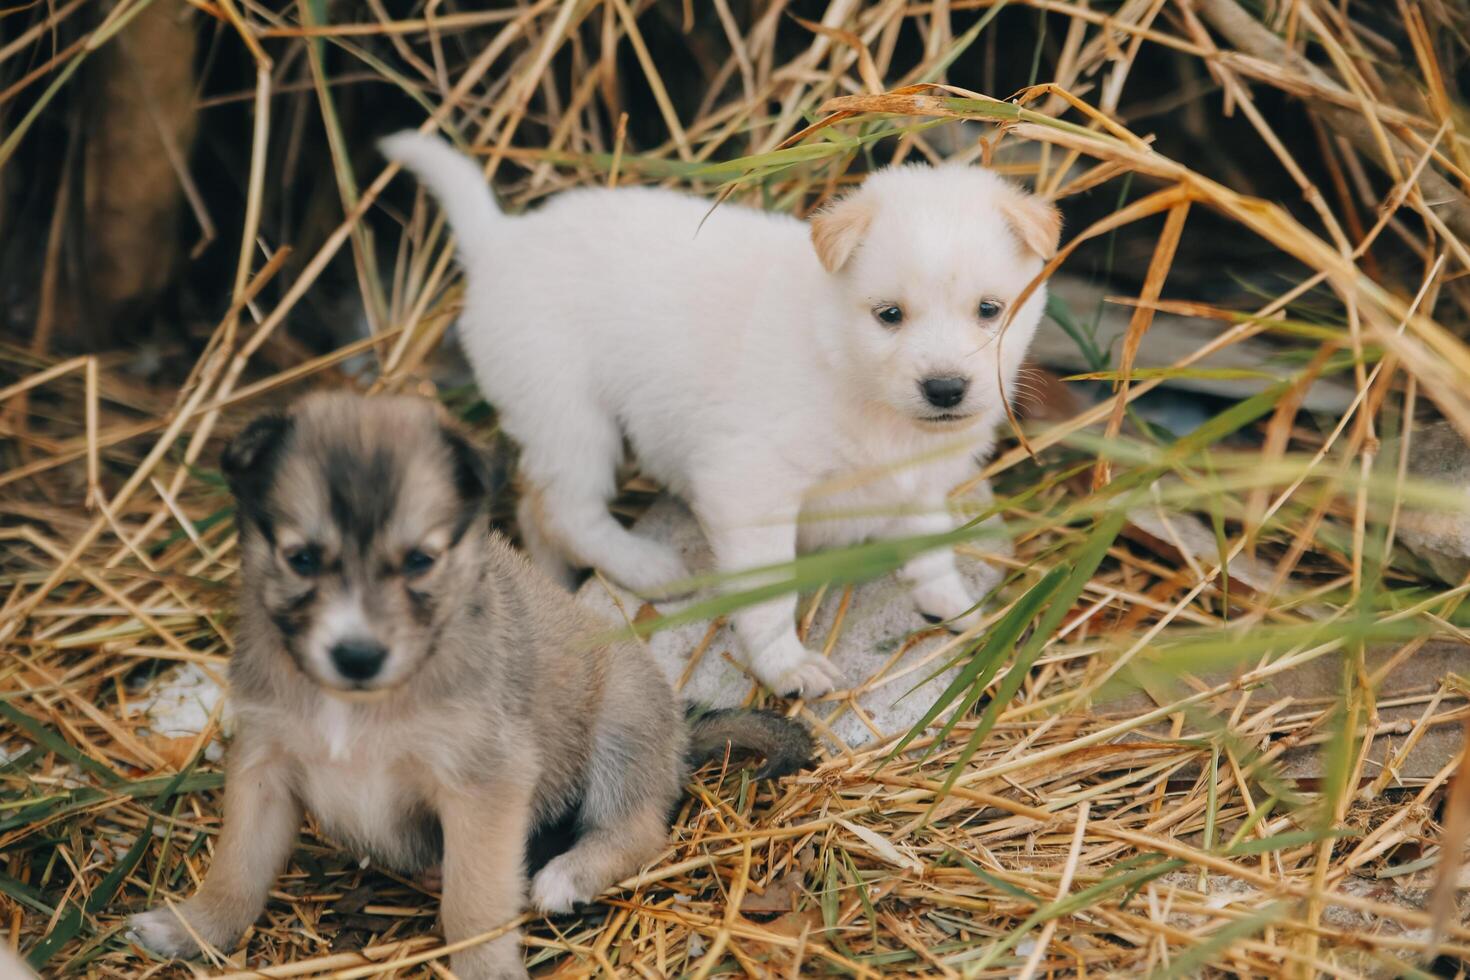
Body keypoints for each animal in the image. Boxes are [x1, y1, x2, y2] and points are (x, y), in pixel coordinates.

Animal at [129, 393, 817, 980]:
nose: (357, 655)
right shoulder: (264, 768)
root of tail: (679, 731)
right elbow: (236, 869)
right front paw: (191, 929)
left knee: (640, 828)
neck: (359, 705)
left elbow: (474, 906)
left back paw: (568, 875)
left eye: (419, 561)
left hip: (621, 719)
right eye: (301, 559)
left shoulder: (484, 786)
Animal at [379, 134, 1058, 702]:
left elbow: (930, 543)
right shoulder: (750, 488)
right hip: (571, 414)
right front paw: (788, 667)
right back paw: (648, 569)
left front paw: (952, 604)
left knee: (536, 512)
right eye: (889, 314)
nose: (945, 389)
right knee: (568, 508)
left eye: (990, 309)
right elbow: (769, 594)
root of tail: (501, 241)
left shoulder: (917, 482)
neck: (846, 365)